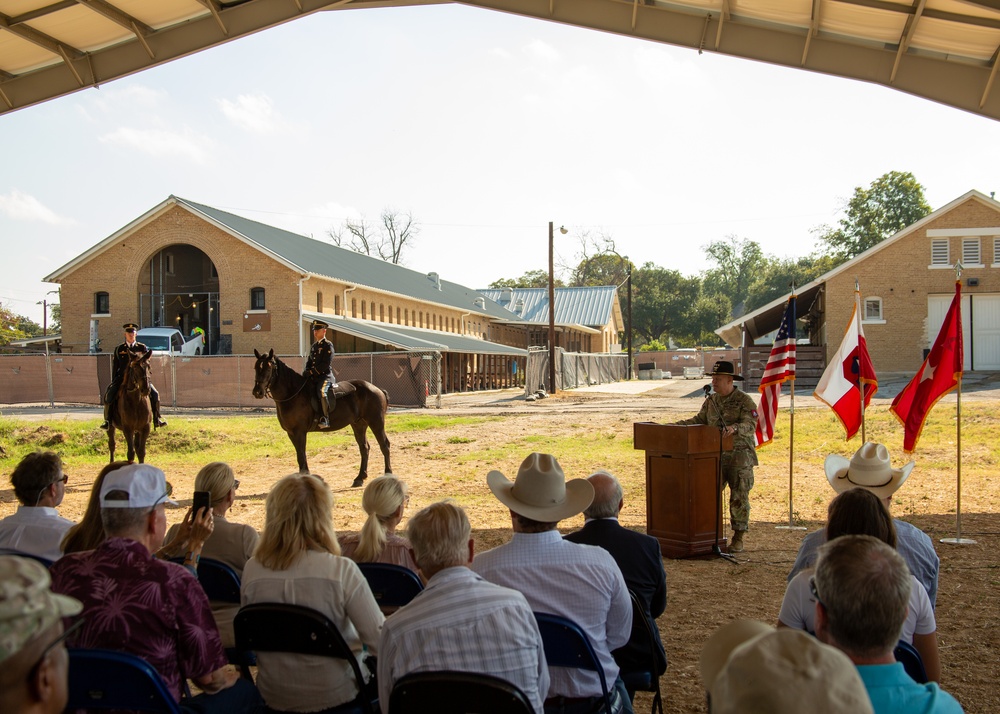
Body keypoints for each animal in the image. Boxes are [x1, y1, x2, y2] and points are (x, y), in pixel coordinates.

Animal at [250, 348, 390, 486]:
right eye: (256, 367)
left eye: (269, 368)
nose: (257, 392)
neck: (293, 394)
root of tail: (377, 389)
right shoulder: (291, 433)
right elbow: (299, 454)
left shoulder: (299, 432)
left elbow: (301, 455)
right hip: (359, 424)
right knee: (364, 448)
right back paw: (360, 478)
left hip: (376, 423)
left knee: (384, 445)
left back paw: (388, 473)